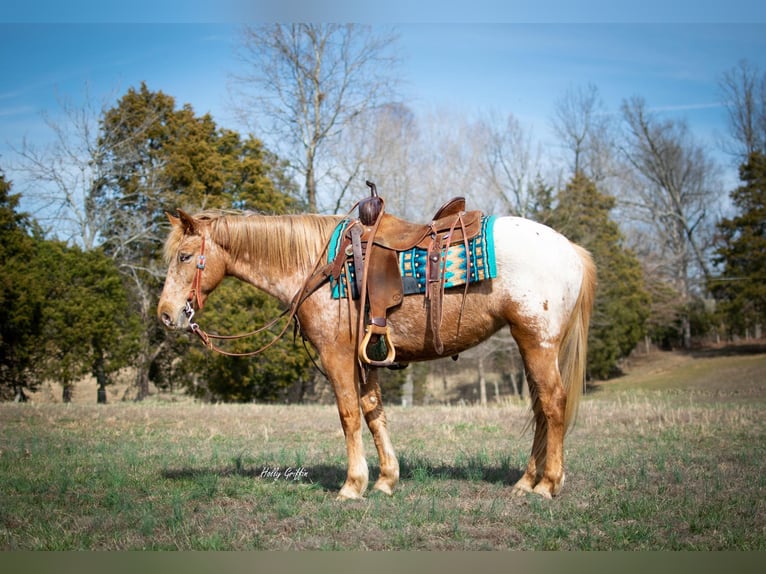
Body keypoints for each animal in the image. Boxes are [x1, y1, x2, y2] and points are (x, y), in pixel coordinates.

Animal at [158, 208, 600, 500]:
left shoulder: (337, 355)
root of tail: (570, 249)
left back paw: (547, 484)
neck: (318, 266)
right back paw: (526, 481)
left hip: (537, 341)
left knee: (553, 404)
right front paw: (387, 478)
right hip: (531, 345)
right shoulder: (365, 356)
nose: (166, 314)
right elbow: (374, 412)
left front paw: (353, 485)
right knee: (540, 408)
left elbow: (349, 415)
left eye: (184, 256)